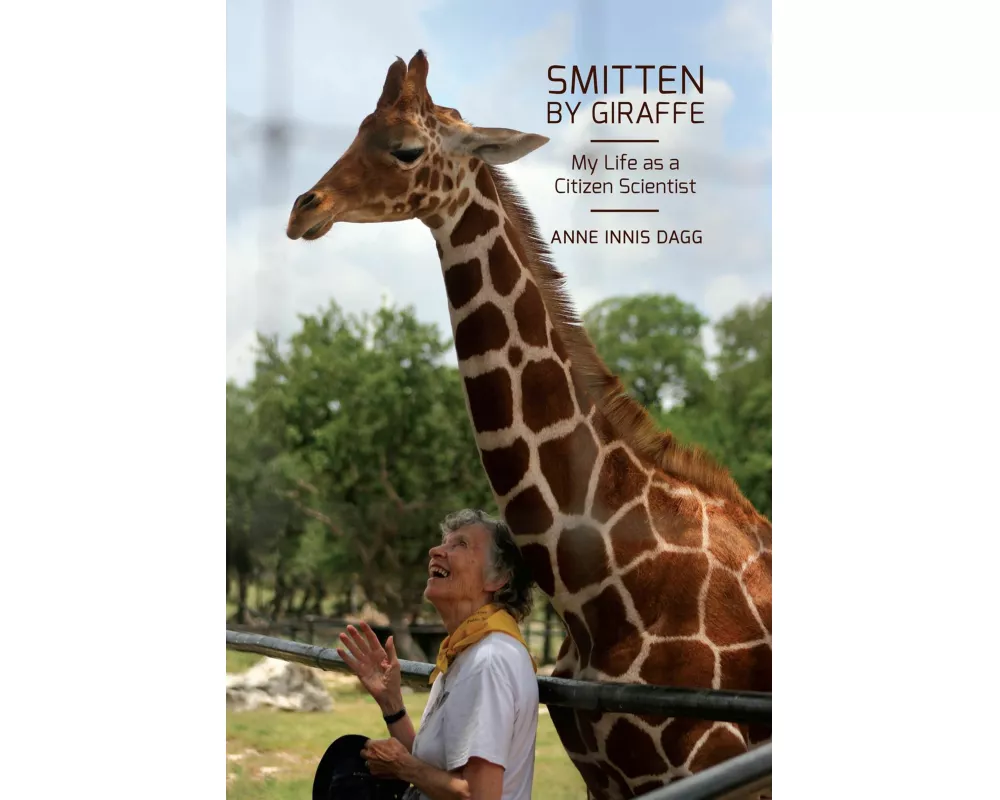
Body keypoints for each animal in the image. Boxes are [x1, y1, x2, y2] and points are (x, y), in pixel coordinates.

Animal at [286, 51, 772, 800]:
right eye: (357, 130)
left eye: (405, 149)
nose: (304, 210)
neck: (602, 589)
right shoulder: (605, 772)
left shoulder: (711, 765)